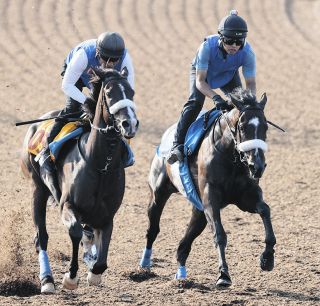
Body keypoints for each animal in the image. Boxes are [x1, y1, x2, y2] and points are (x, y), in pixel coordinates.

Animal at [21, 68, 139, 292]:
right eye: (109, 93)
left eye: (131, 92)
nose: (130, 124)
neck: (101, 165)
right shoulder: (67, 205)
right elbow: (75, 232)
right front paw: (71, 276)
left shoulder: (107, 216)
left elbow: (101, 256)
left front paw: (93, 271)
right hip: (37, 189)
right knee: (42, 238)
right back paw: (47, 280)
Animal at [139, 89, 276, 286]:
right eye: (242, 127)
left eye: (265, 127)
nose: (256, 166)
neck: (230, 156)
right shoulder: (210, 198)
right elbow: (219, 234)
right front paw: (223, 275)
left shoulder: (246, 196)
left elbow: (265, 210)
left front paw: (267, 258)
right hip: (159, 193)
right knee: (153, 229)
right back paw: (144, 265)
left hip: (199, 209)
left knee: (185, 243)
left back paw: (181, 274)